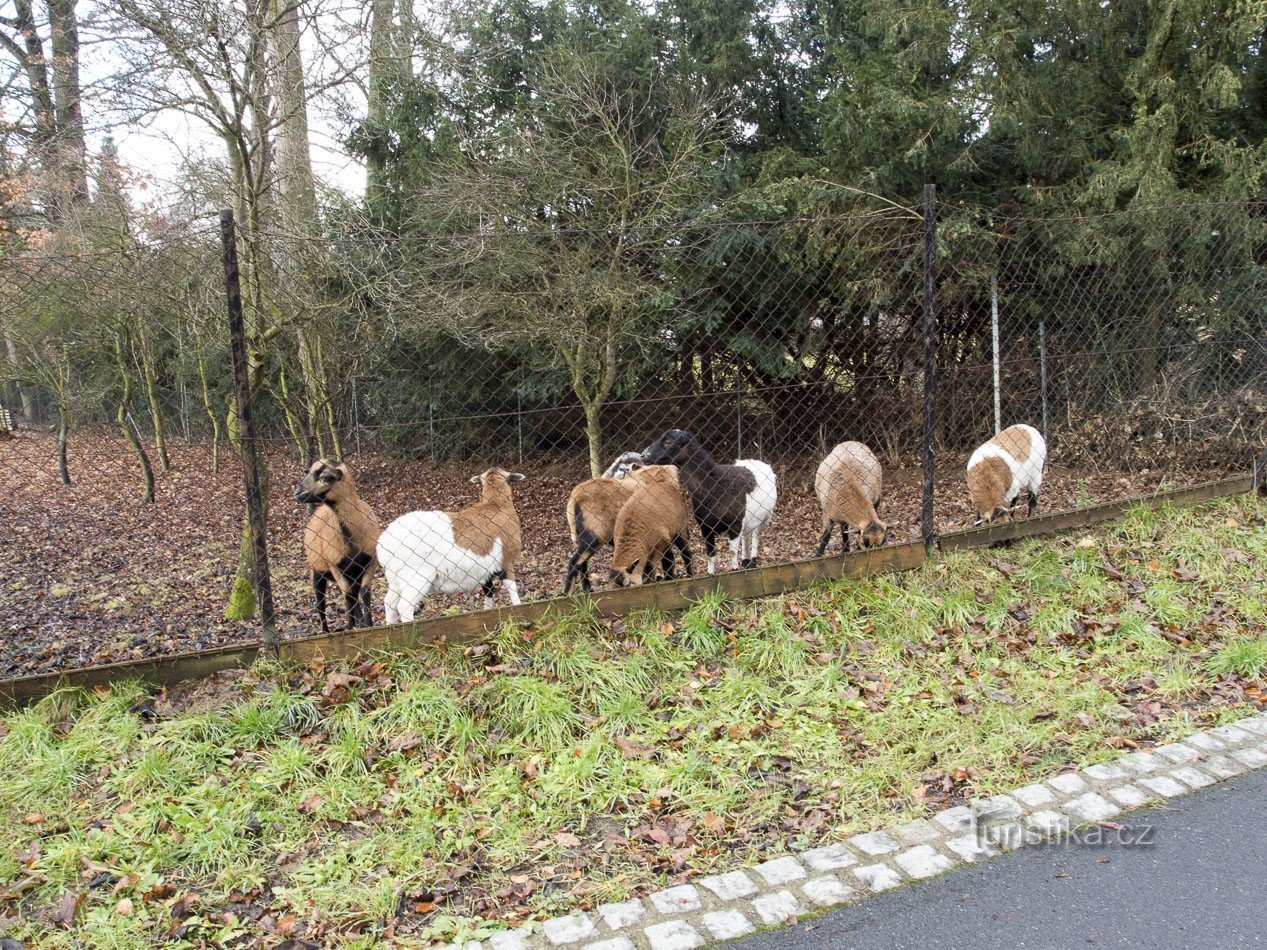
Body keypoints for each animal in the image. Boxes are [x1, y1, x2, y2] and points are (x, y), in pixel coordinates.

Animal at [292, 458, 380, 633]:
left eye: (325, 477)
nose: (297, 493)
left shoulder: (370, 562)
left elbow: (364, 593)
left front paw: (367, 626)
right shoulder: (336, 567)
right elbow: (348, 596)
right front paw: (350, 627)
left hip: (352, 574)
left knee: (354, 596)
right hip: (316, 570)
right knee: (321, 603)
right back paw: (325, 631)